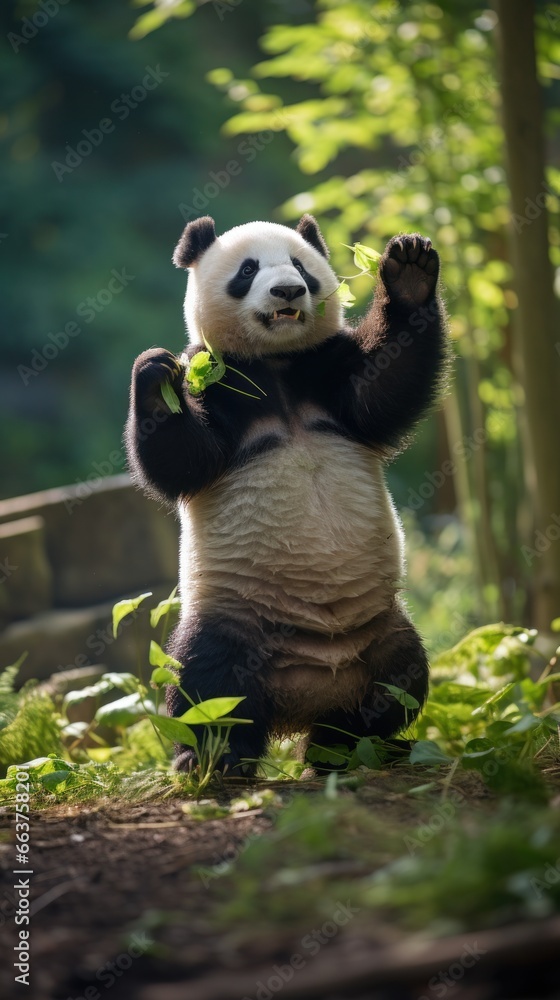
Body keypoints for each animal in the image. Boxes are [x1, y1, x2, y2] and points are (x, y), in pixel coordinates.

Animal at [124, 213, 448, 772]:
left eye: (300, 265)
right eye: (248, 269)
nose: (288, 290)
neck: (275, 364)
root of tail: (301, 700)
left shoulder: (327, 369)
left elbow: (384, 390)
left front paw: (408, 268)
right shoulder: (220, 383)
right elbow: (186, 459)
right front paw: (156, 375)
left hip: (382, 628)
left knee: (399, 678)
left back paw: (349, 748)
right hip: (237, 617)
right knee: (208, 679)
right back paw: (213, 758)